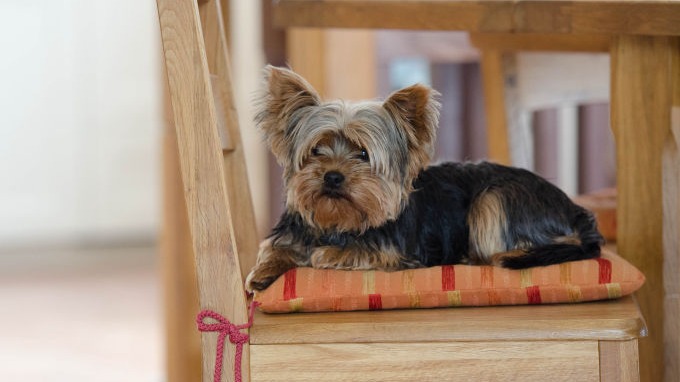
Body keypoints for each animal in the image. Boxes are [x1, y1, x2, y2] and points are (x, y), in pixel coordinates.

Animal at [243, 66, 600, 292]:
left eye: (363, 154)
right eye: (316, 150)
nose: (332, 177)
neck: (337, 223)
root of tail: (574, 209)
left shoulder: (397, 252)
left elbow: (353, 252)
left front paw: (327, 254)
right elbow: (274, 248)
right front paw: (262, 272)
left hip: (495, 200)